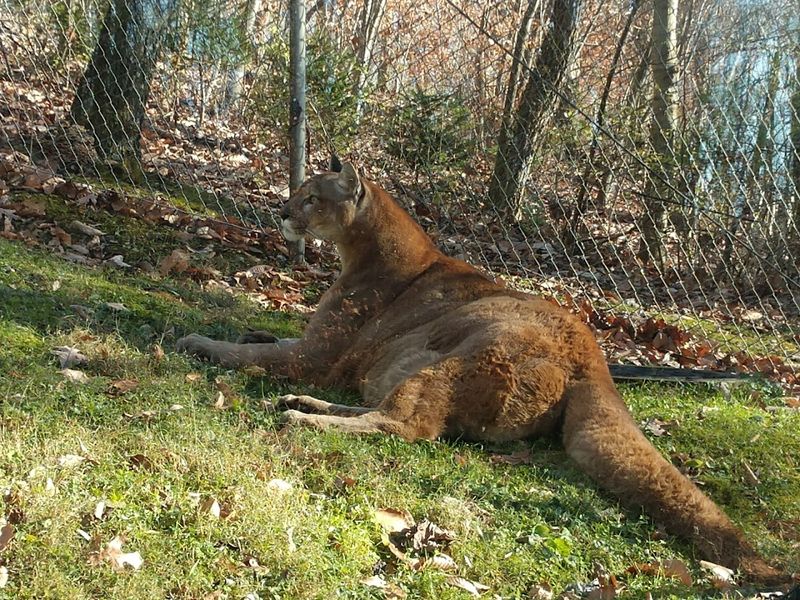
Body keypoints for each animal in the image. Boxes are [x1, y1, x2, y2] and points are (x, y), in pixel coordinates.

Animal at [178, 159, 789, 585]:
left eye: (311, 197)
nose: (283, 213)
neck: (368, 250)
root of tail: (597, 364)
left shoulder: (317, 357)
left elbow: (255, 355)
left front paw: (199, 341)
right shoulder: (314, 350)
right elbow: (267, 341)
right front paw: (248, 334)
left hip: (463, 354)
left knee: (408, 426)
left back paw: (304, 418)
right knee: (389, 412)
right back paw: (304, 408)